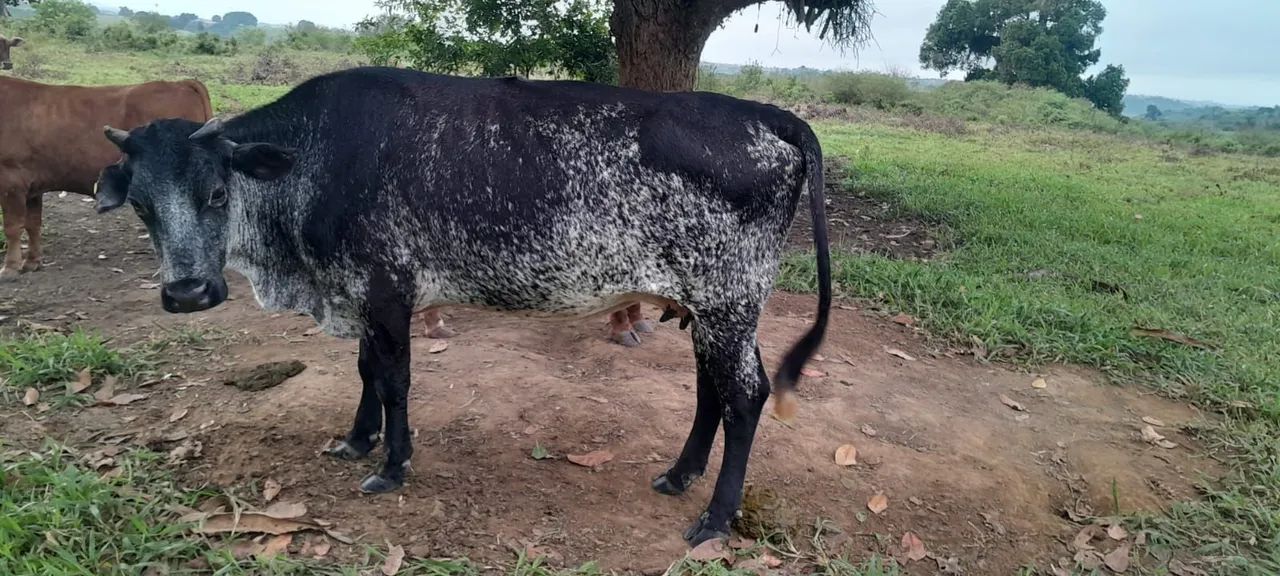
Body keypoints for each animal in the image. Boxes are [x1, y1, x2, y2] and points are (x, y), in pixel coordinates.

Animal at [0, 75, 212, 280]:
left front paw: (9, 268)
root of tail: (179, 83)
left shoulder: (11, 181)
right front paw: (32, 263)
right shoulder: (33, 187)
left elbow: (12, 227)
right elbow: (33, 224)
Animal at [95, 66, 832, 545]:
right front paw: (356, 440)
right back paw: (680, 476)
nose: (187, 293)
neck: (311, 160)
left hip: (727, 300)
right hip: (710, 310)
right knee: (713, 390)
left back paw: (714, 519)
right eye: (140, 204)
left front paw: (391, 465)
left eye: (218, 192)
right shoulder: (363, 294)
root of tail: (767, 115)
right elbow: (366, 372)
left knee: (745, 395)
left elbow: (393, 380)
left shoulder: (386, 289)